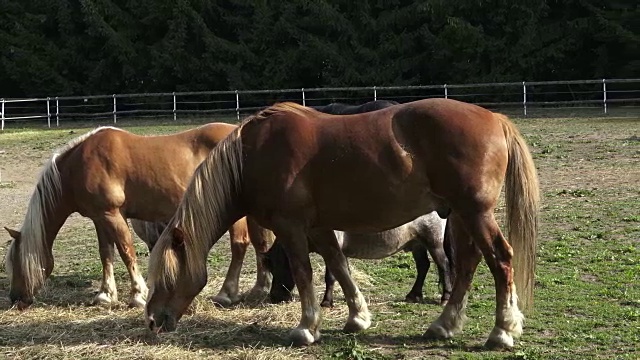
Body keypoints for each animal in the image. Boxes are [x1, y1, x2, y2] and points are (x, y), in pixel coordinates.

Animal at [0, 124, 270, 310]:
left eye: (17, 263)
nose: (15, 299)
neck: (77, 166)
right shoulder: (99, 218)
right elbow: (106, 254)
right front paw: (105, 295)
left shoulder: (113, 215)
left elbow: (126, 251)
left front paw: (138, 295)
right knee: (260, 244)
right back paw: (260, 288)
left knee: (240, 245)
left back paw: (227, 293)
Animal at [268, 212, 452, 308]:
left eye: (279, 268)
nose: (274, 297)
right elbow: (345, 275)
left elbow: (330, 278)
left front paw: (327, 302)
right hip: (416, 244)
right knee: (423, 267)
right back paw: (414, 295)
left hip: (433, 243)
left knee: (443, 266)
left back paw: (445, 297)